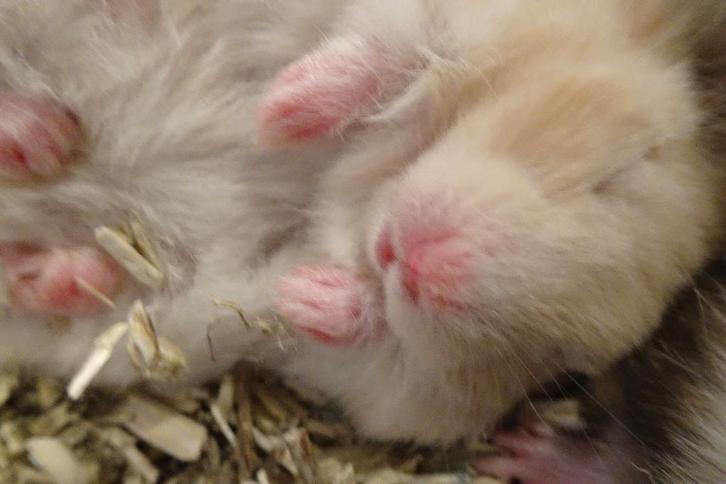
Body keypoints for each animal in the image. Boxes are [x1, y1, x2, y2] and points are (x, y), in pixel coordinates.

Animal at [261, 0, 726, 445]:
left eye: (563, 362)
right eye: (614, 176)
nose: (415, 267)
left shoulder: (402, 394)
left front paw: (299, 294)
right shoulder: (463, 20)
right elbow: (390, 52)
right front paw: (277, 112)